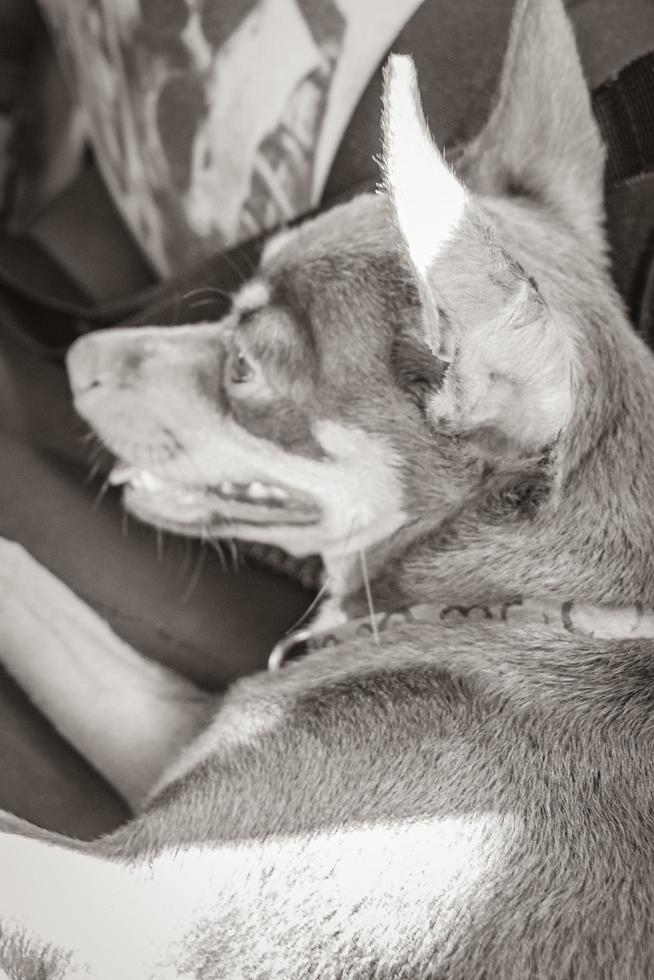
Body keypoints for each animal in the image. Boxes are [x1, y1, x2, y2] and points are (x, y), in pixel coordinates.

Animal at [1, 0, 654, 976]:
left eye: (241, 365)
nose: (77, 358)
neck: (502, 601)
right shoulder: (171, 735)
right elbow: (26, 580)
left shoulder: (130, 912)